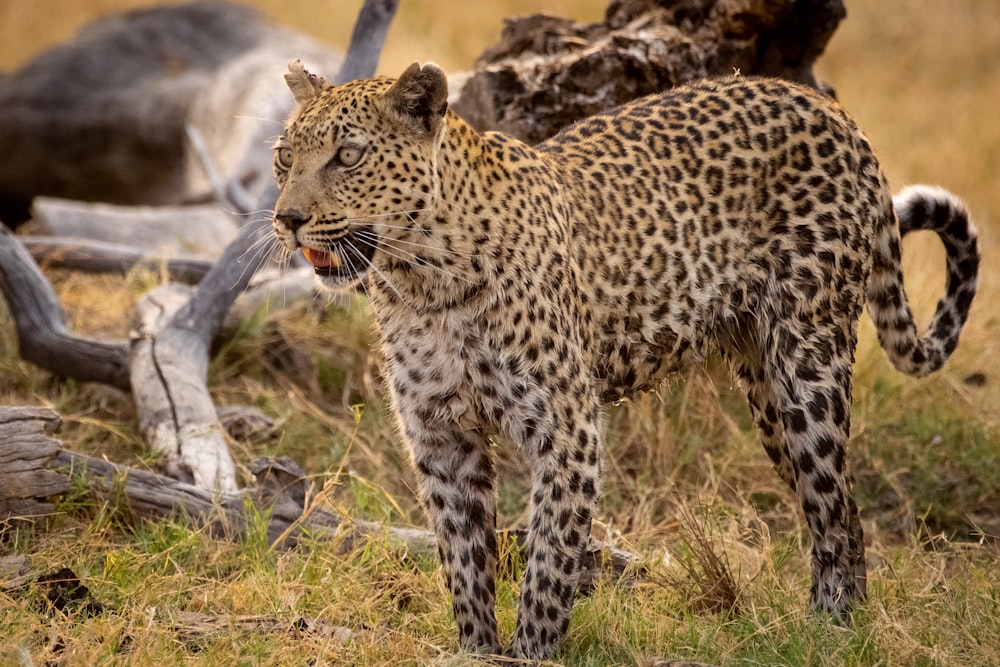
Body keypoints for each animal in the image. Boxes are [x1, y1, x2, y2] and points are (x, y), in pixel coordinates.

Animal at [270, 58, 980, 664]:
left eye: (348, 155)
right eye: (283, 157)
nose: (287, 219)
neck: (421, 282)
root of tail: (830, 108)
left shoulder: (567, 426)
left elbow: (550, 556)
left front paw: (531, 653)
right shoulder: (440, 434)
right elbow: (462, 557)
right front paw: (475, 650)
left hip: (809, 365)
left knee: (833, 508)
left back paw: (829, 633)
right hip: (769, 397)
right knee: (842, 512)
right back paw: (839, 625)